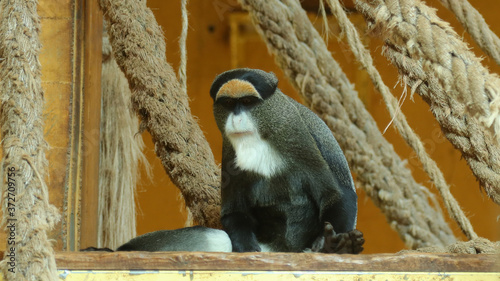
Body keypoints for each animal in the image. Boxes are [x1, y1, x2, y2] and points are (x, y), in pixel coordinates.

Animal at [210, 68, 364, 252]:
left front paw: (329, 244)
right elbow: (234, 212)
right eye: (228, 103)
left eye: (247, 101)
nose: (236, 120)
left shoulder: (296, 134)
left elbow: (337, 195)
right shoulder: (228, 151)